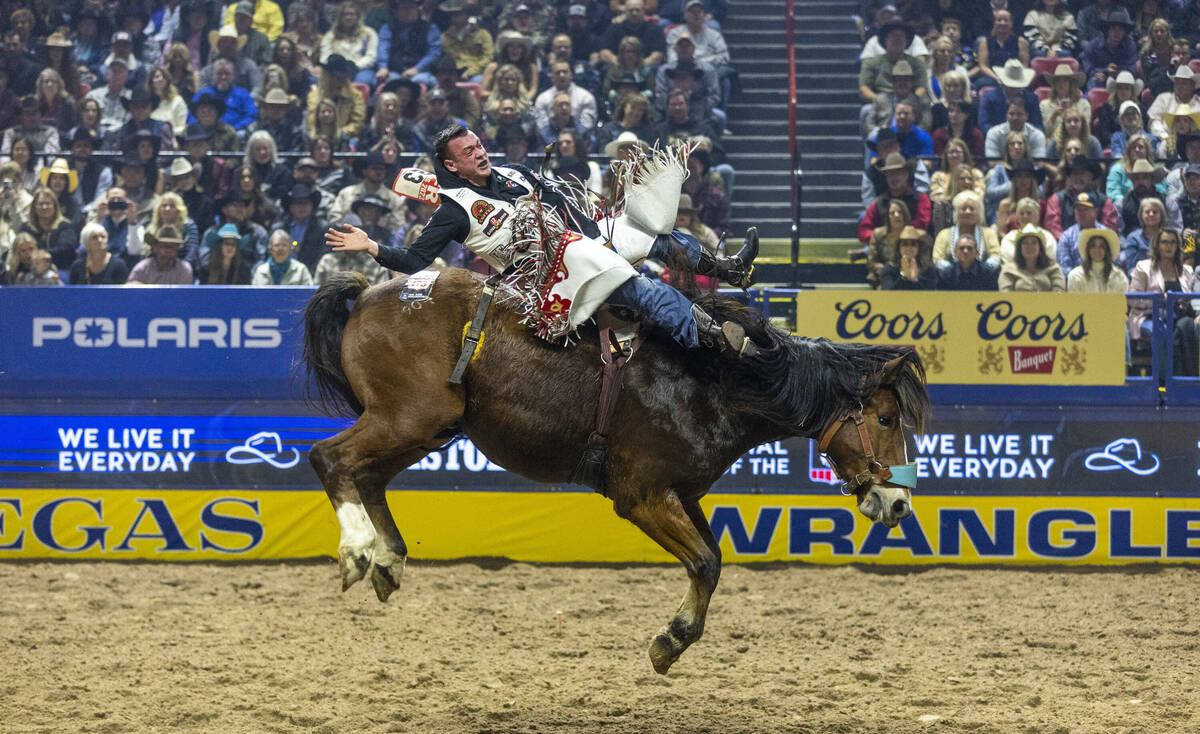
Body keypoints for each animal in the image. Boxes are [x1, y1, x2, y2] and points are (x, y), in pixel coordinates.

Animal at [300, 266, 926, 671]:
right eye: (887, 417)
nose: (898, 502)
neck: (716, 380)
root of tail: (368, 293)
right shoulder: (642, 494)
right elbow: (704, 562)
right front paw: (671, 641)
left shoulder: (683, 494)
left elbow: (714, 560)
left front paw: (675, 639)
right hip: (409, 417)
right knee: (330, 458)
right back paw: (359, 550)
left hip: (427, 426)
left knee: (368, 474)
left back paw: (389, 561)